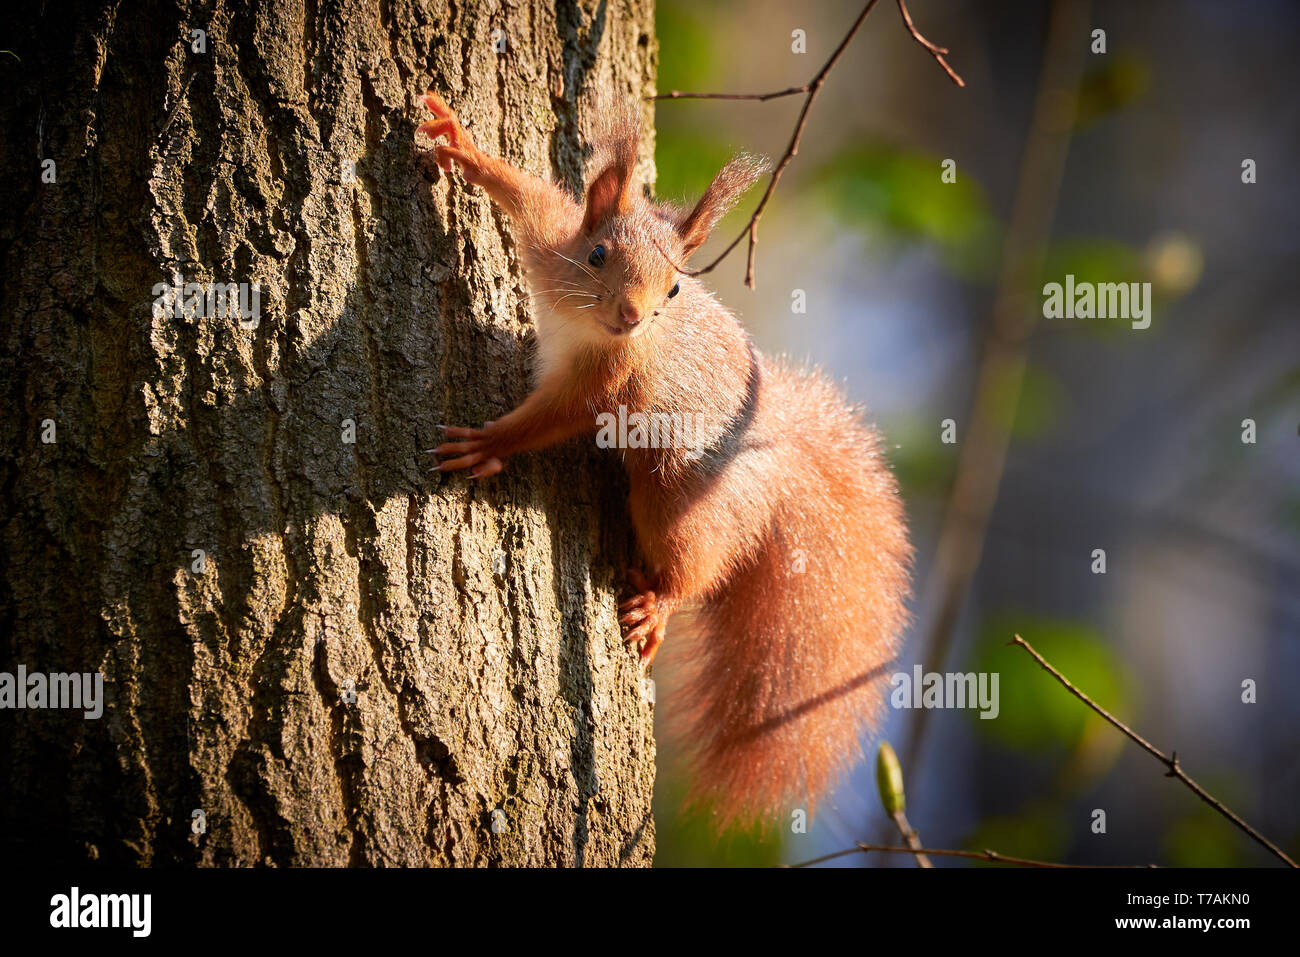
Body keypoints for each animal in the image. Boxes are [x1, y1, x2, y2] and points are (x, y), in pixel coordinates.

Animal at [418, 91, 912, 827]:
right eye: (597, 254)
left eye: (675, 292)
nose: (632, 316)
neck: (584, 324)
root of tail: (773, 452)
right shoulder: (550, 242)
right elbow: (531, 194)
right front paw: (461, 143)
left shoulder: (607, 385)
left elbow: (553, 419)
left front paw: (488, 444)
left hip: (676, 495)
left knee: (694, 563)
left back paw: (659, 606)